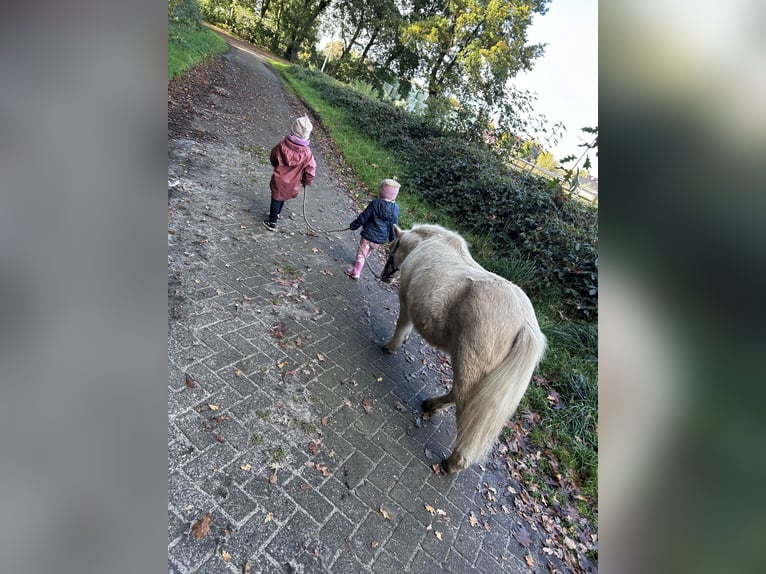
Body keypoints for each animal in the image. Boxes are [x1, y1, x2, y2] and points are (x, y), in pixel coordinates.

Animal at [382, 224, 548, 472]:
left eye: (394, 246)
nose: (385, 275)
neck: (427, 243)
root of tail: (525, 326)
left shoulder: (405, 302)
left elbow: (401, 326)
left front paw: (390, 346)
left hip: (469, 368)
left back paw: (452, 463)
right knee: (455, 396)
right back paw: (432, 405)